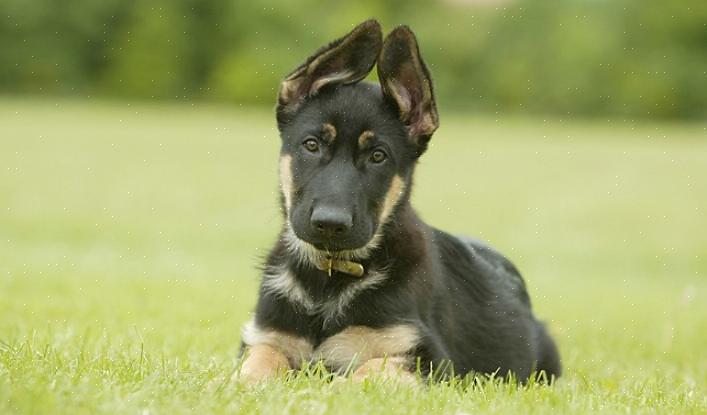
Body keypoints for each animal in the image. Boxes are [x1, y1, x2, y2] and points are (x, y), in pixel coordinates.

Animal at [236, 18, 560, 384]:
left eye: (378, 156)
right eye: (311, 145)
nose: (330, 224)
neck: (329, 279)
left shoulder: (426, 357)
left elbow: (366, 371)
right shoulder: (264, 338)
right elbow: (258, 363)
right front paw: (240, 382)